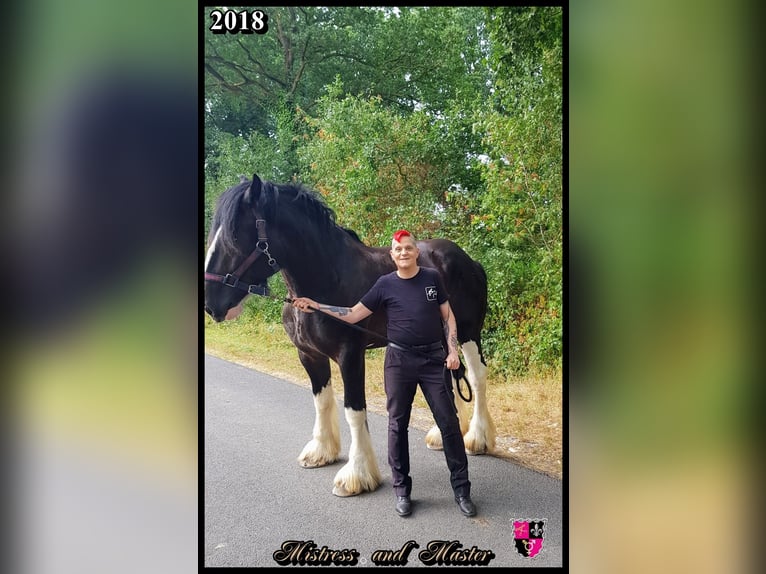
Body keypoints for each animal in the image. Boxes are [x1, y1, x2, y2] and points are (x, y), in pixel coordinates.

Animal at [202, 173, 498, 498]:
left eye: (233, 238)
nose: (210, 303)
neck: (328, 280)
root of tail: (469, 261)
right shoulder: (309, 355)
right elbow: (321, 401)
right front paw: (321, 451)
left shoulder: (350, 355)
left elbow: (354, 410)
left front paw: (356, 475)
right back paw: (440, 435)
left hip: (468, 333)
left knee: (476, 376)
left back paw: (477, 439)